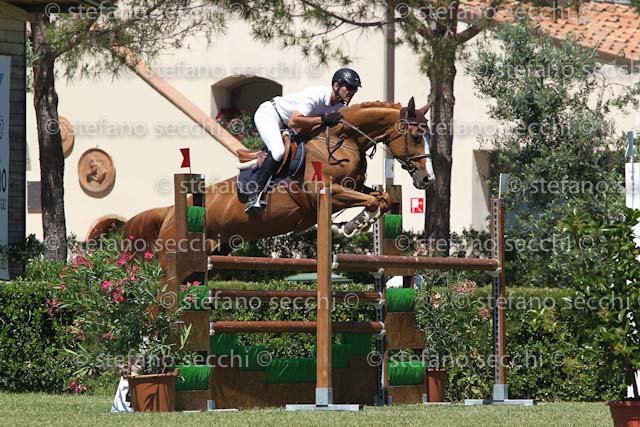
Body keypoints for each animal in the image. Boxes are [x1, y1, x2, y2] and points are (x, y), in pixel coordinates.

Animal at [119, 97, 435, 268]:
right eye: (416, 136)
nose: (427, 179)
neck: (344, 139)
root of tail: (169, 212)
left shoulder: (353, 187)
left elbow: (381, 198)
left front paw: (354, 223)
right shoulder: (325, 192)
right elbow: (371, 200)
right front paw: (351, 225)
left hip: (217, 248)